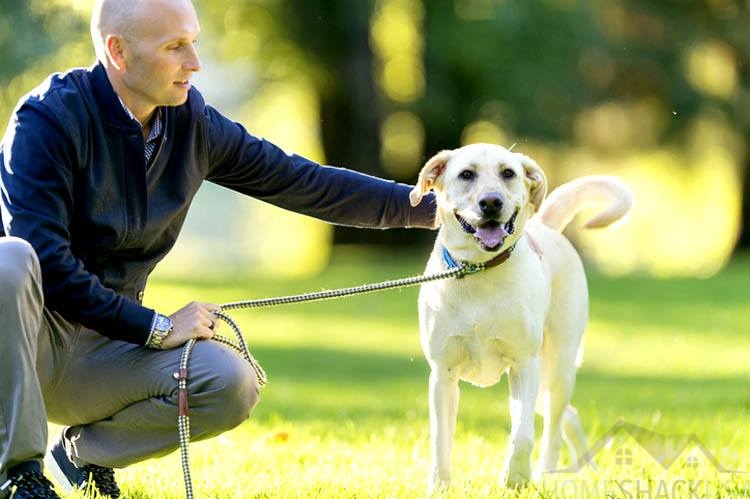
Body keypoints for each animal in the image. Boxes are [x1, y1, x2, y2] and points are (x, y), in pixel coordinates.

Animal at [412, 142, 636, 492]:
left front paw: (516, 478)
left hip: (556, 369)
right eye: (466, 174)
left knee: (554, 426)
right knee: (568, 415)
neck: (478, 270)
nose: (491, 202)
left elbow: (523, 435)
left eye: (508, 173)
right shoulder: (442, 375)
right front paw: (439, 487)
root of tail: (542, 225)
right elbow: (440, 440)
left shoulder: (524, 365)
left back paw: (549, 475)